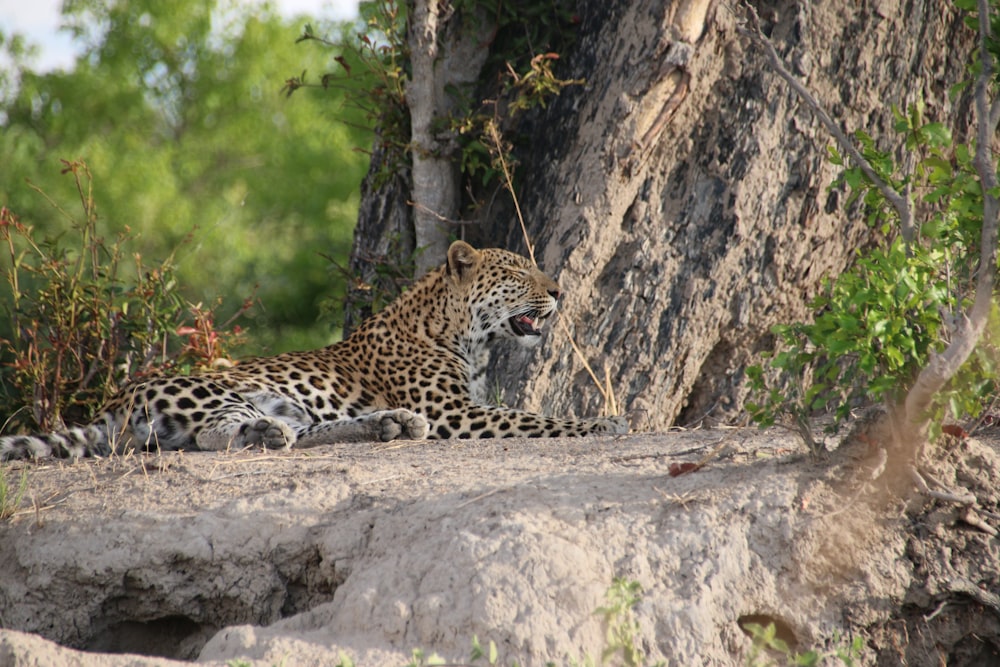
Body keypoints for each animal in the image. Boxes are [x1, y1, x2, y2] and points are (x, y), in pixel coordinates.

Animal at [0, 240, 624, 460]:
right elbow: (534, 418)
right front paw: (606, 424)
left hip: (287, 399)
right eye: (517, 273)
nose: (558, 290)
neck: (468, 338)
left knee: (304, 432)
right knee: (216, 435)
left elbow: (526, 412)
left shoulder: (460, 407)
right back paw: (274, 433)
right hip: (218, 389)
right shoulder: (456, 413)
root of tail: (113, 404)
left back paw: (390, 424)